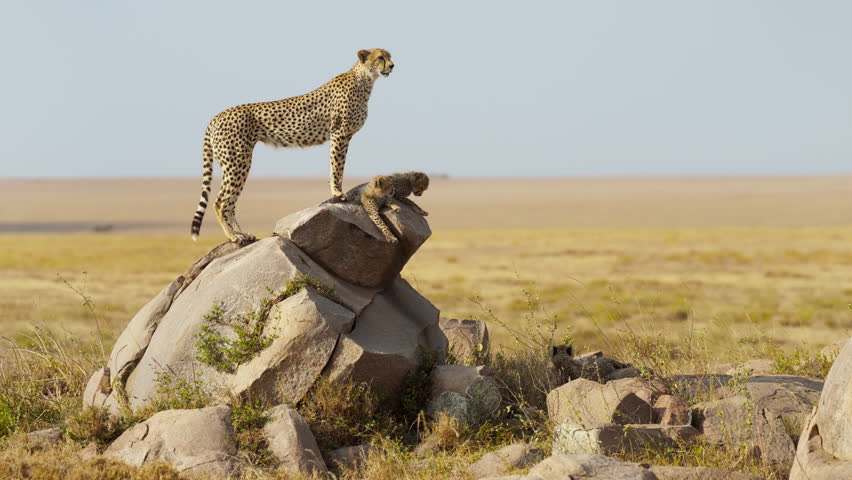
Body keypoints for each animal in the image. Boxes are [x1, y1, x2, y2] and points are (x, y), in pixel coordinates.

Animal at [190, 48, 395, 244]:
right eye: (380, 57)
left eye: (389, 56)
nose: (393, 65)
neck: (365, 79)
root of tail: (217, 116)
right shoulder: (340, 133)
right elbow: (337, 166)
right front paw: (338, 192)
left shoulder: (341, 135)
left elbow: (334, 165)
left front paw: (335, 190)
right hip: (237, 162)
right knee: (221, 202)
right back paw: (233, 236)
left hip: (236, 163)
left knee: (230, 202)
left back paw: (242, 234)